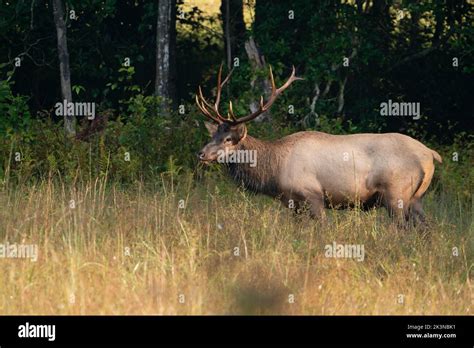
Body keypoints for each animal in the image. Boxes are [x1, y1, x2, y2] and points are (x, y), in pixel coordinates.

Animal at [194, 65, 442, 223]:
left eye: (228, 139)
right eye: (213, 136)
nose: (201, 154)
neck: (274, 172)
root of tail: (430, 154)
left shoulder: (313, 195)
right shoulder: (293, 203)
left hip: (396, 193)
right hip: (416, 198)